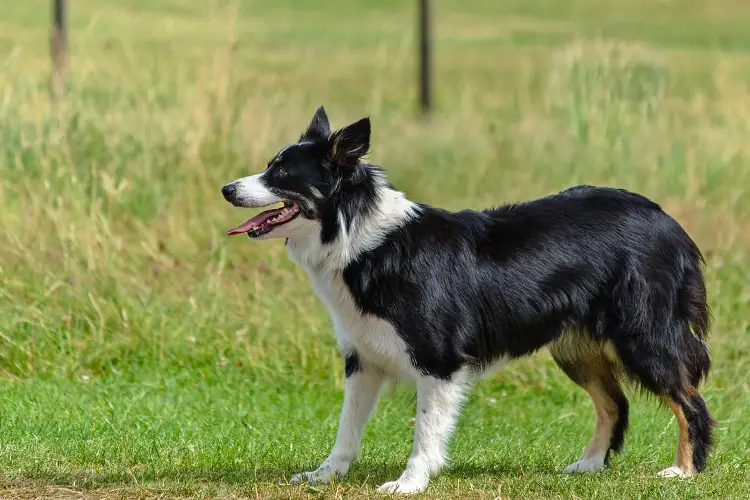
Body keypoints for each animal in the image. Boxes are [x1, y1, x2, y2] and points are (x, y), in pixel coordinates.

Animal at [220, 107, 712, 494]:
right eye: (269, 166)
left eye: (281, 174)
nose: (227, 189)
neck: (358, 237)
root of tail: (666, 219)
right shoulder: (363, 357)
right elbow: (346, 428)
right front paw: (326, 475)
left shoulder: (438, 360)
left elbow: (426, 430)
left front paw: (410, 482)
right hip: (575, 346)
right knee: (615, 404)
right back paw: (588, 466)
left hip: (643, 336)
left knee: (689, 402)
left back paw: (683, 471)